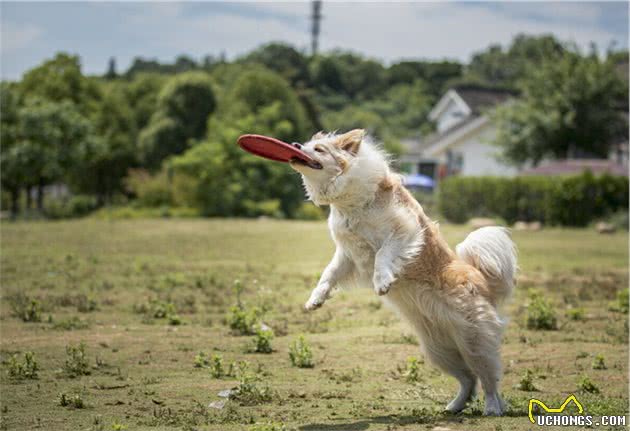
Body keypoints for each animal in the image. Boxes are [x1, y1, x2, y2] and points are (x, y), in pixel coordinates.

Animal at [292, 130, 520, 416]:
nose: (295, 145)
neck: (348, 201)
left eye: (319, 150)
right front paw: (315, 300)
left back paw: (492, 408)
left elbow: (382, 255)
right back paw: (454, 407)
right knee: (468, 380)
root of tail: (482, 280)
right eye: (305, 144)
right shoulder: (346, 255)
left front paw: (382, 282)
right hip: (439, 351)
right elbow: (328, 275)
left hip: (475, 343)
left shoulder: (404, 231)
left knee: (489, 379)